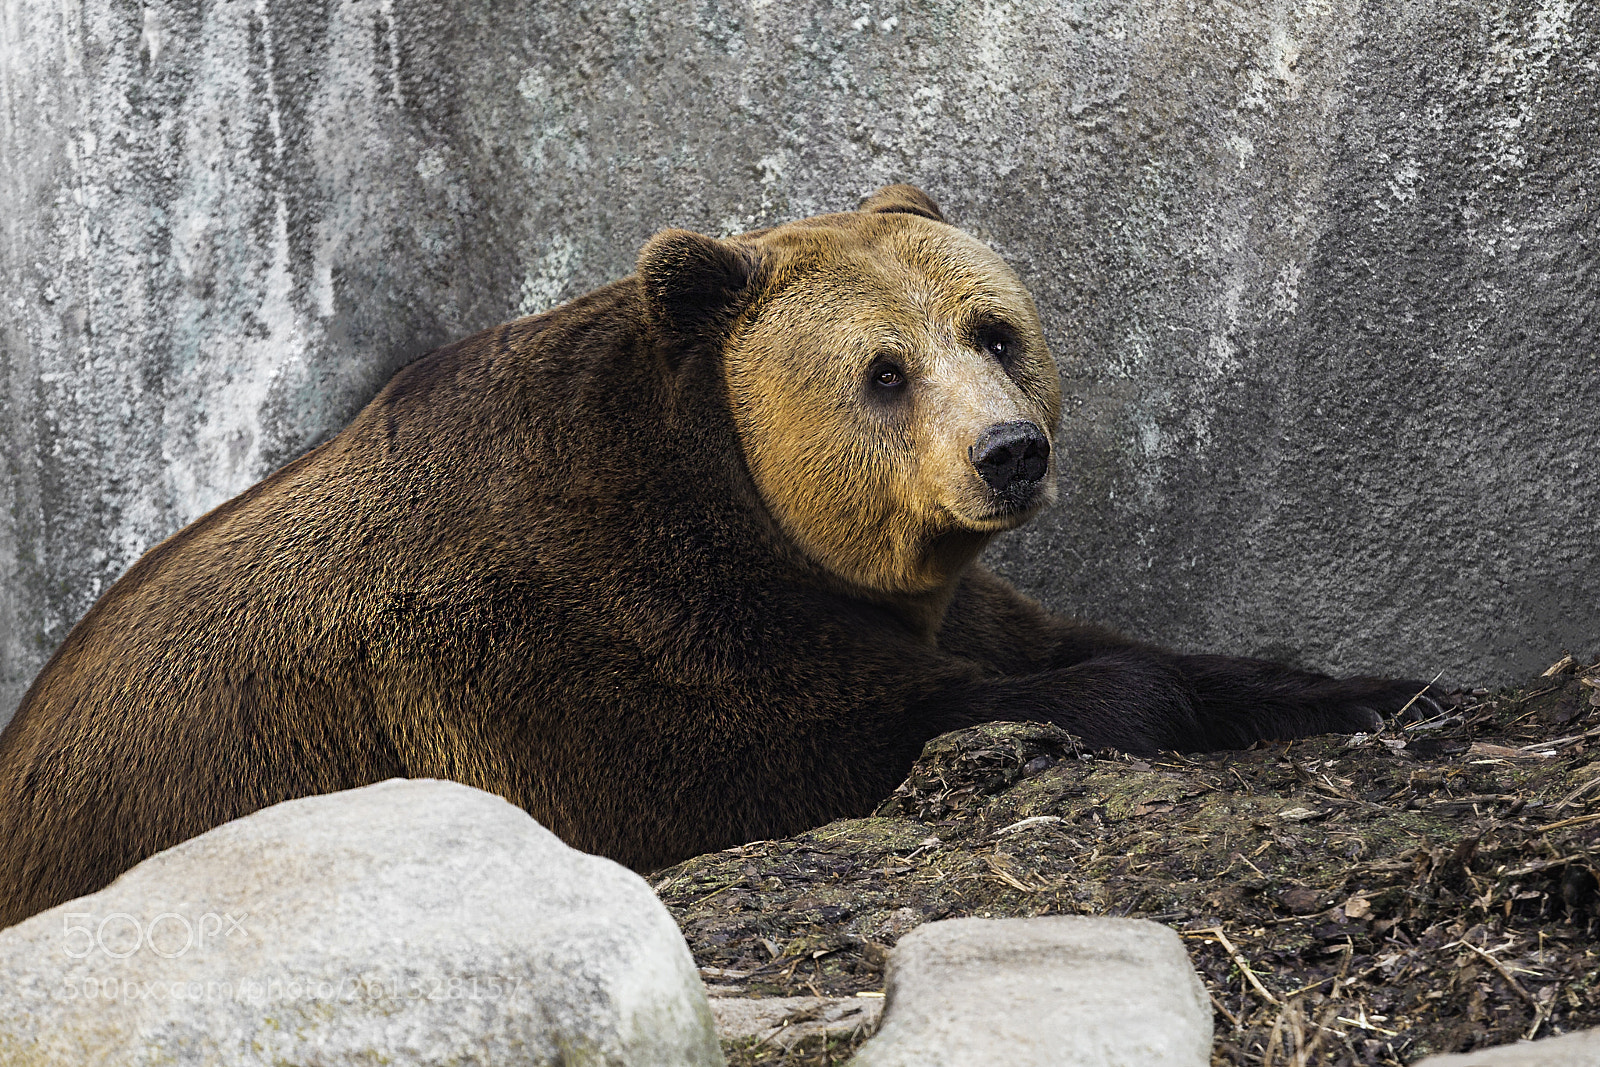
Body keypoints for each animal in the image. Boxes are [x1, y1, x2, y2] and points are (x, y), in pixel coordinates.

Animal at [0, 185, 1438, 929]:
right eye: (883, 370)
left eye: (994, 328)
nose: (1009, 452)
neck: (743, 507)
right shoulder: (552, 623)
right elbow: (755, 752)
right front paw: (1131, 702)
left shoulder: (940, 594)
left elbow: (1082, 635)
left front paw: (1380, 687)